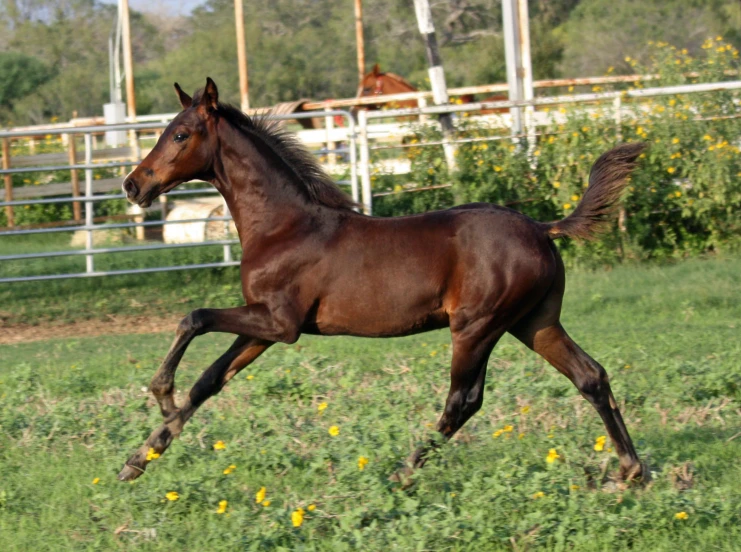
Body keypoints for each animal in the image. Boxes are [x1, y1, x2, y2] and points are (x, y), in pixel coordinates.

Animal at [118, 78, 644, 488]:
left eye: (180, 134)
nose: (132, 185)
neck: (283, 225)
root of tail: (542, 228)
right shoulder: (262, 326)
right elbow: (210, 379)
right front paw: (141, 457)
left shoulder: (280, 324)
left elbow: (194, 318)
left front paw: (160, 396)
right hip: (534, 322)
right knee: (590, 376)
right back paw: (631, 471)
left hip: (477, 327)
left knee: (464, 401)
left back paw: (402, 472)